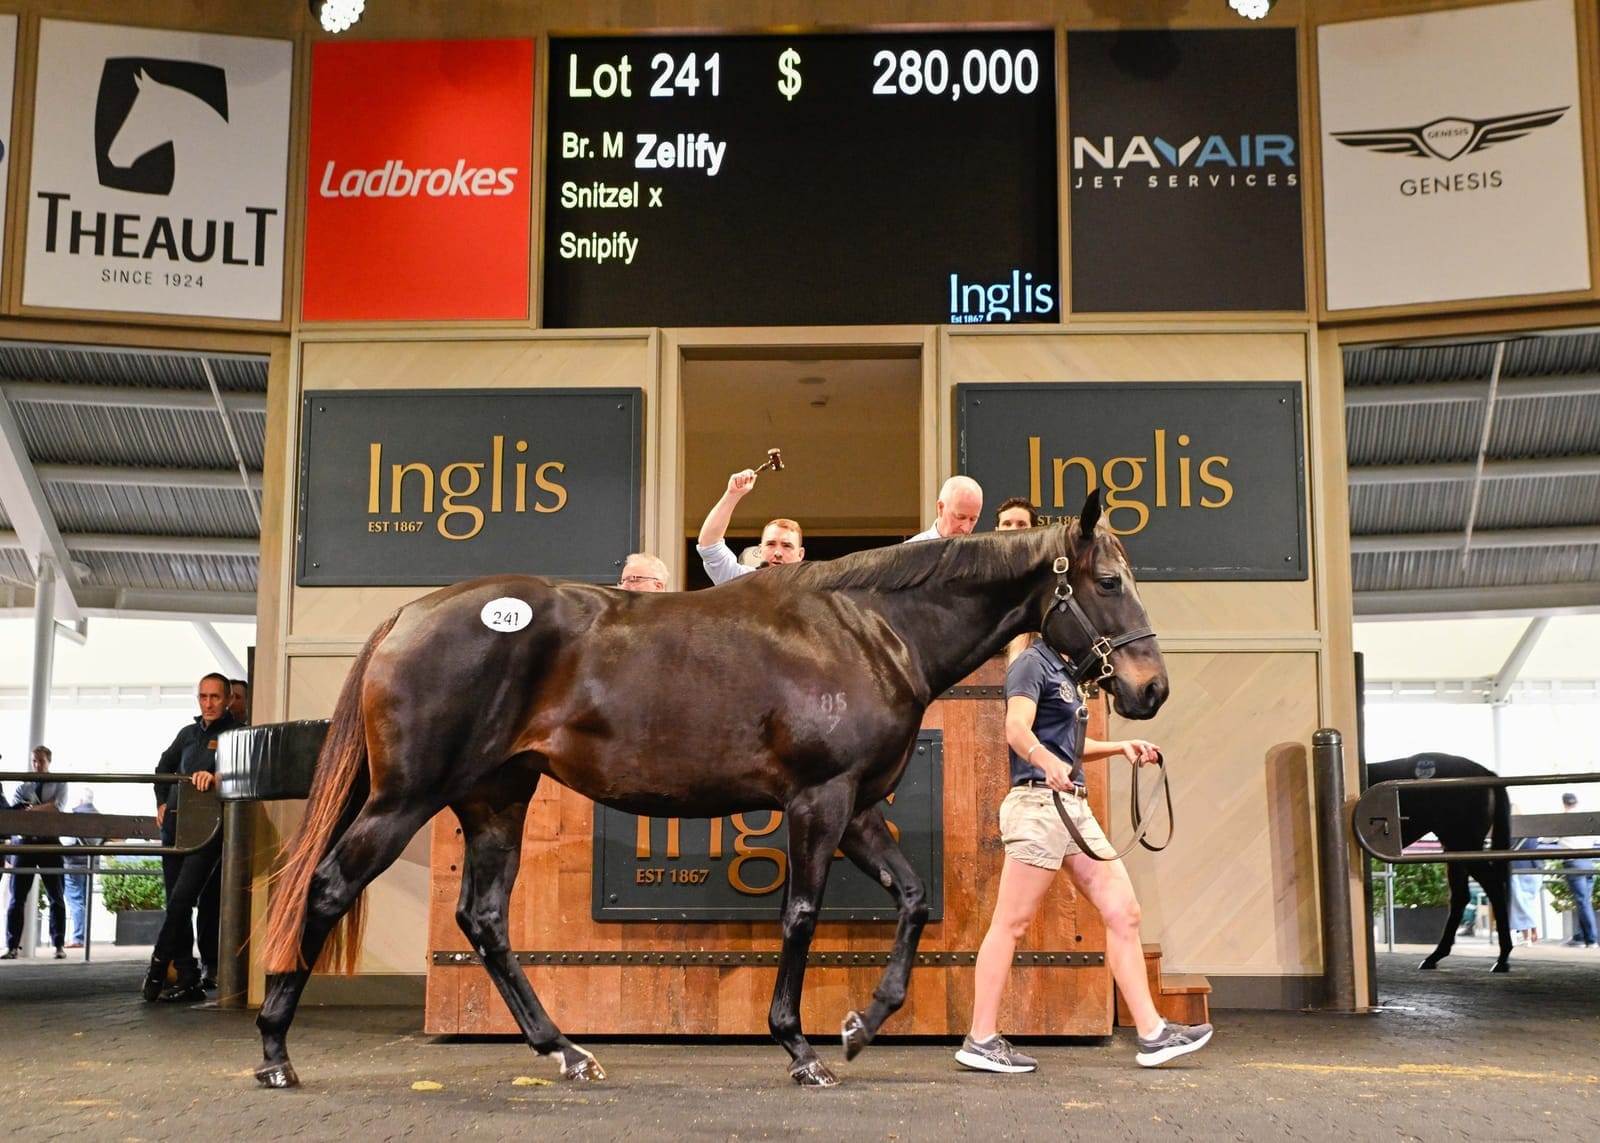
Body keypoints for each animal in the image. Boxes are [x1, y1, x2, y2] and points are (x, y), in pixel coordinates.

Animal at [255, 490, 1168, 1089]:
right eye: (1110, 582)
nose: (1150, 688)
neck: (868, 630)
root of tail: (408, 614)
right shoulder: (817, 801)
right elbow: (800, 913)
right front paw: (800, 1047)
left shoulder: (857, 808)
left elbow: (910, 900)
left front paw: (859, 1026)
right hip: (406, 799)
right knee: (329, 886)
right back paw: (274, 1051)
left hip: (495, 801)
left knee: (483, 920)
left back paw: (565, 1050)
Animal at [1367, 753, 1513, 973]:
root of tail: (1486, 772)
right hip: (1454, 848)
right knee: (1461, 896)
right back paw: (1435, 956)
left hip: (1464, 844)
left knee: (1492, 886)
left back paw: (1502, 958)